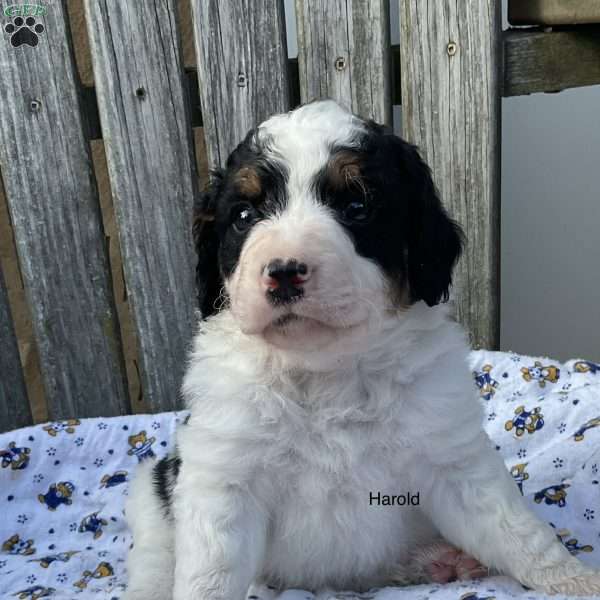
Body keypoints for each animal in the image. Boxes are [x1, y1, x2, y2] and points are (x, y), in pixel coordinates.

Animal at [123, 99, 600, 600]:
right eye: (244, 216)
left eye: (356, 207)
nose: (285, 271)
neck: (324, 374)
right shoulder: (223, 482)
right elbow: (209, 578)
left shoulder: (453, 461)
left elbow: (519, 534)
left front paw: (576, 581)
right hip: (152, 496)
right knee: (155, 562)